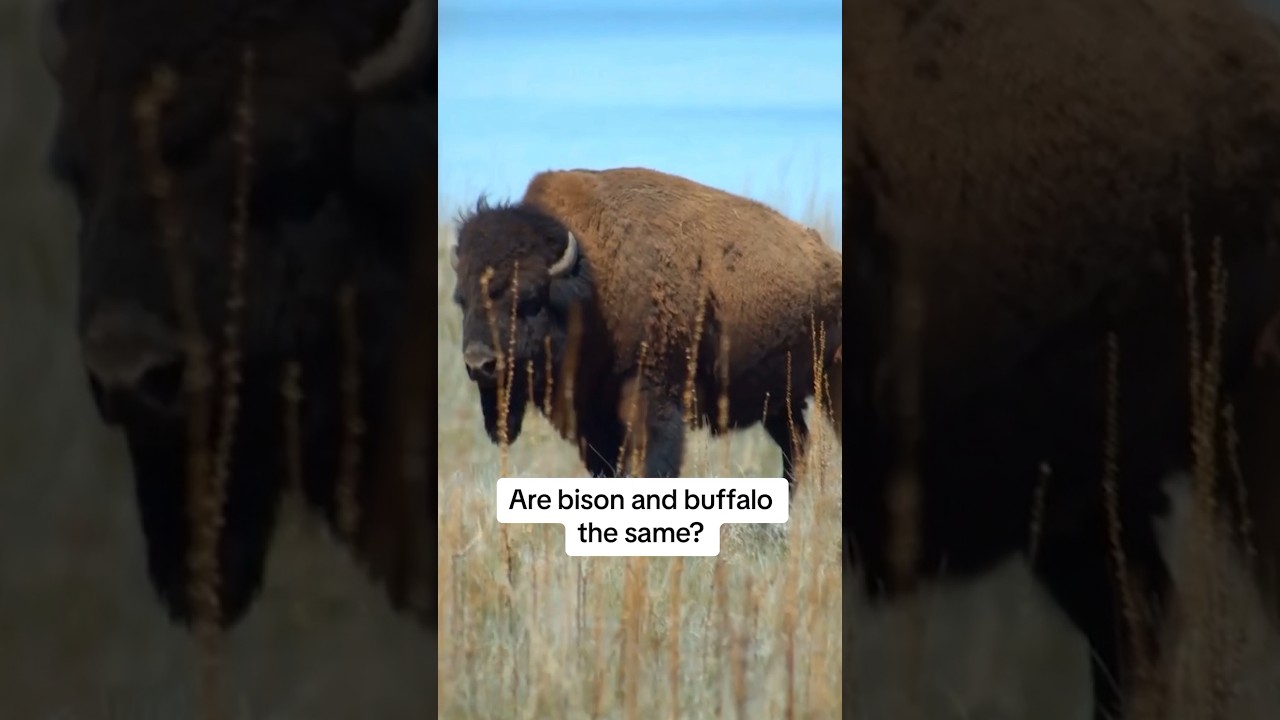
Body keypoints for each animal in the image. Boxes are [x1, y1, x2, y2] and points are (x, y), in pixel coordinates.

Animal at [449, 167, 843, 486]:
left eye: (529, 299)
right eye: (462, 300)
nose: (480, 363)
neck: (591, 279)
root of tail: (831, 260)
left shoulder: (652, 401)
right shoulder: (592, 422)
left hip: (827, 384)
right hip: (780, 402)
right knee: (796, 446)